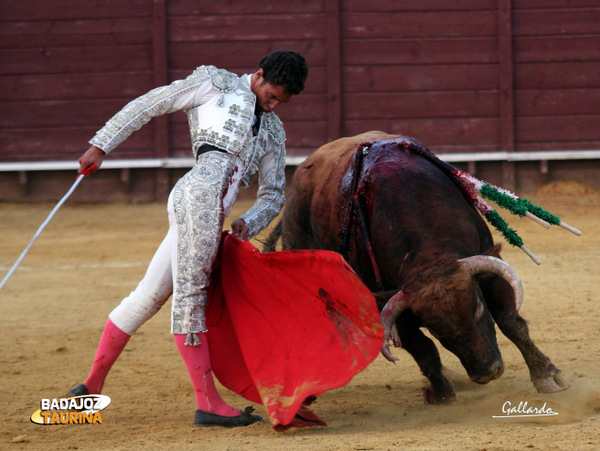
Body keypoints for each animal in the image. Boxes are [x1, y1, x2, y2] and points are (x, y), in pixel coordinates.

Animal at [264, 132, 568, 404]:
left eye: (478, 309)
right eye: (437, 329)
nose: (488, 372)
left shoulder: (489, 270)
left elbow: (510, 323)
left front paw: (547, 377)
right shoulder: (392, 306)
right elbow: (425, 350)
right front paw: (442, 395)